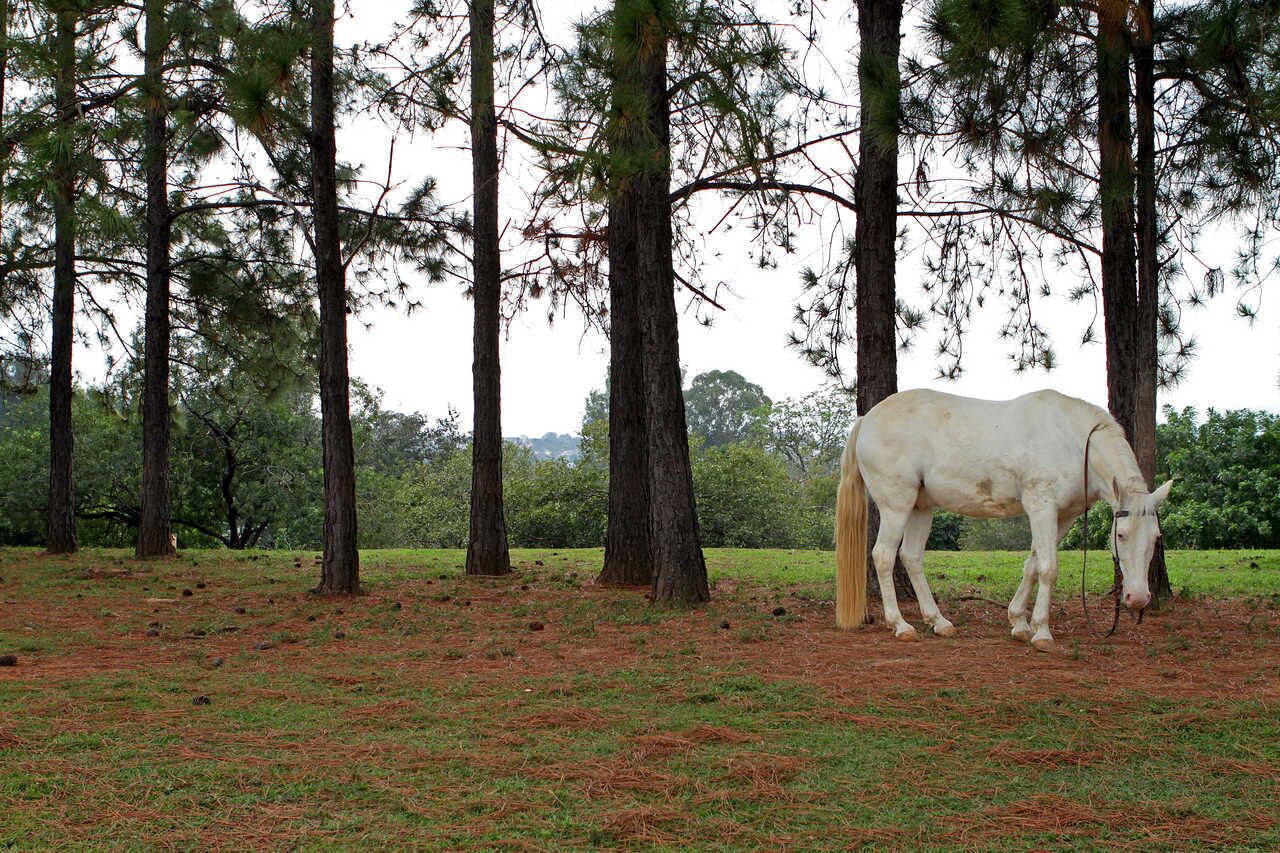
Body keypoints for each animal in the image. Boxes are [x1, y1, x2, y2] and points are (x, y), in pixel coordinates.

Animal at [835, 389, 1171, 652]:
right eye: (1121, 535)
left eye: (1156, 537)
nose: (1138, 598)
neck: (1074, 442)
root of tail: (867, 419)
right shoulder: (1041, 508)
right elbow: (1048, 569)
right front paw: (1042, 632)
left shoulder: (1063, 516)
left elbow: (1033, 565)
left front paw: (1019, 622)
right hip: (897, 506)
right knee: (883, 556)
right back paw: (901, 625)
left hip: (920, 507)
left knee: (911, 557)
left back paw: (938, 622)